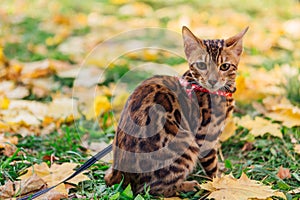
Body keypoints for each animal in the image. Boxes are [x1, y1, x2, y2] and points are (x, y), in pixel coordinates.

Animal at [105, 25, 248, 196]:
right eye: (201, 65)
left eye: (224, 66)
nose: (213, 80)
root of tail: (118, 171)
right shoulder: (205, 135)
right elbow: (211, 165)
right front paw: (221, 181)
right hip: (184, 146)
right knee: (149, 188)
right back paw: (187, 185)